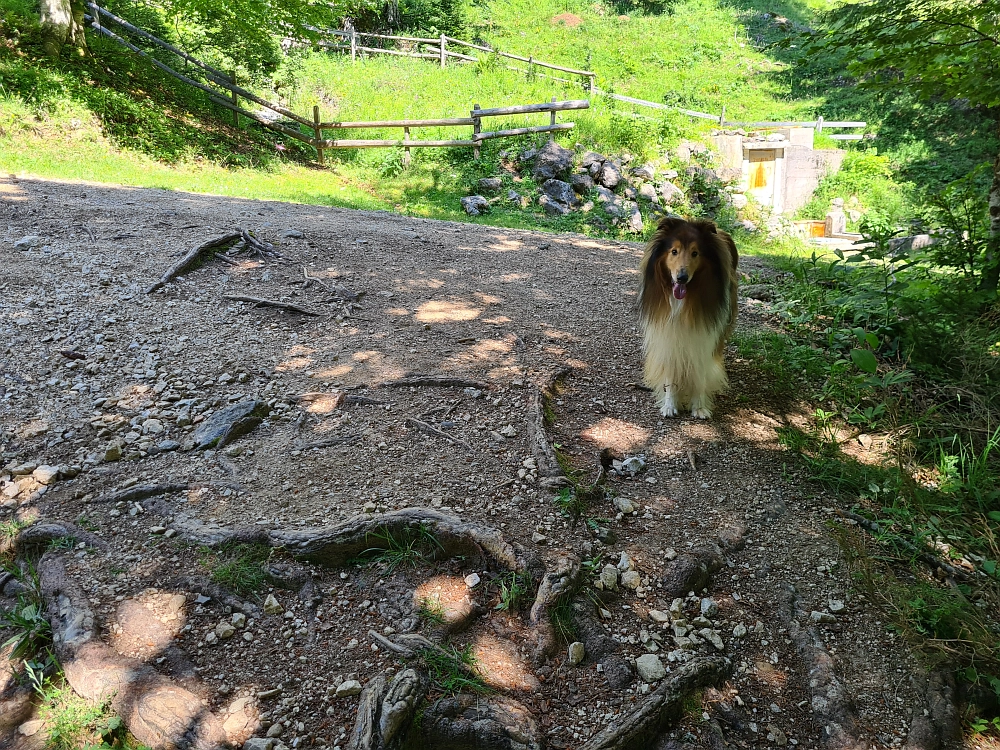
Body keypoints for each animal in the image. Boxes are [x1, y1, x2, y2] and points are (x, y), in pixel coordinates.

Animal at [636, 214, 740, 420]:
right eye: (674, 251)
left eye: (695, 253)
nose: (682, 277)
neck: (683, 302)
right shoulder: (668, 335)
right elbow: (670, 371)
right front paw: (670, 405)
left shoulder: (705, 338)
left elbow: (700, 374)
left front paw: (699, 407)